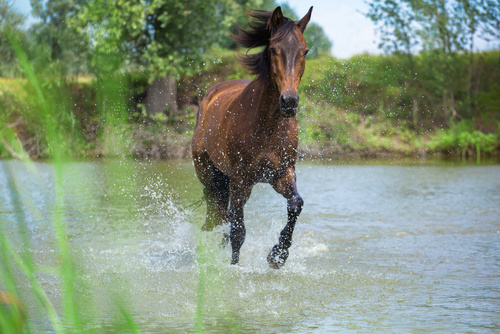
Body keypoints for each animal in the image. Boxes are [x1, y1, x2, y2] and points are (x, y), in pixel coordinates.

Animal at [192, 5, 312, 268]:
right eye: (275, 49)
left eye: (305, 50)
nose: (289, 101)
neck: (267, 126)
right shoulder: (241, 180)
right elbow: (238, 230)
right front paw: (234, 268)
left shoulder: (282, 174)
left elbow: (295, 205)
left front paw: (278, 255)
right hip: (208, 175)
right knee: (217, 215)